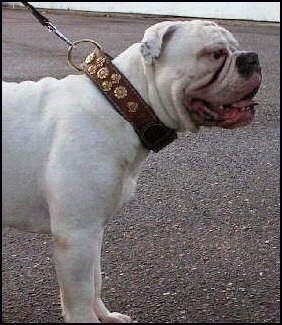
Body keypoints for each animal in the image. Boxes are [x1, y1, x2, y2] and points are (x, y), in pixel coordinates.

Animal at [2, 20, 262, 322]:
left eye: (235, 47)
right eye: (215, 53)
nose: (251, 58)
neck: (122, 108)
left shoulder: (92, 231)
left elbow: (95, 280)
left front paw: (106, 315)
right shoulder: (75, 235)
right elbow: (80, 295)